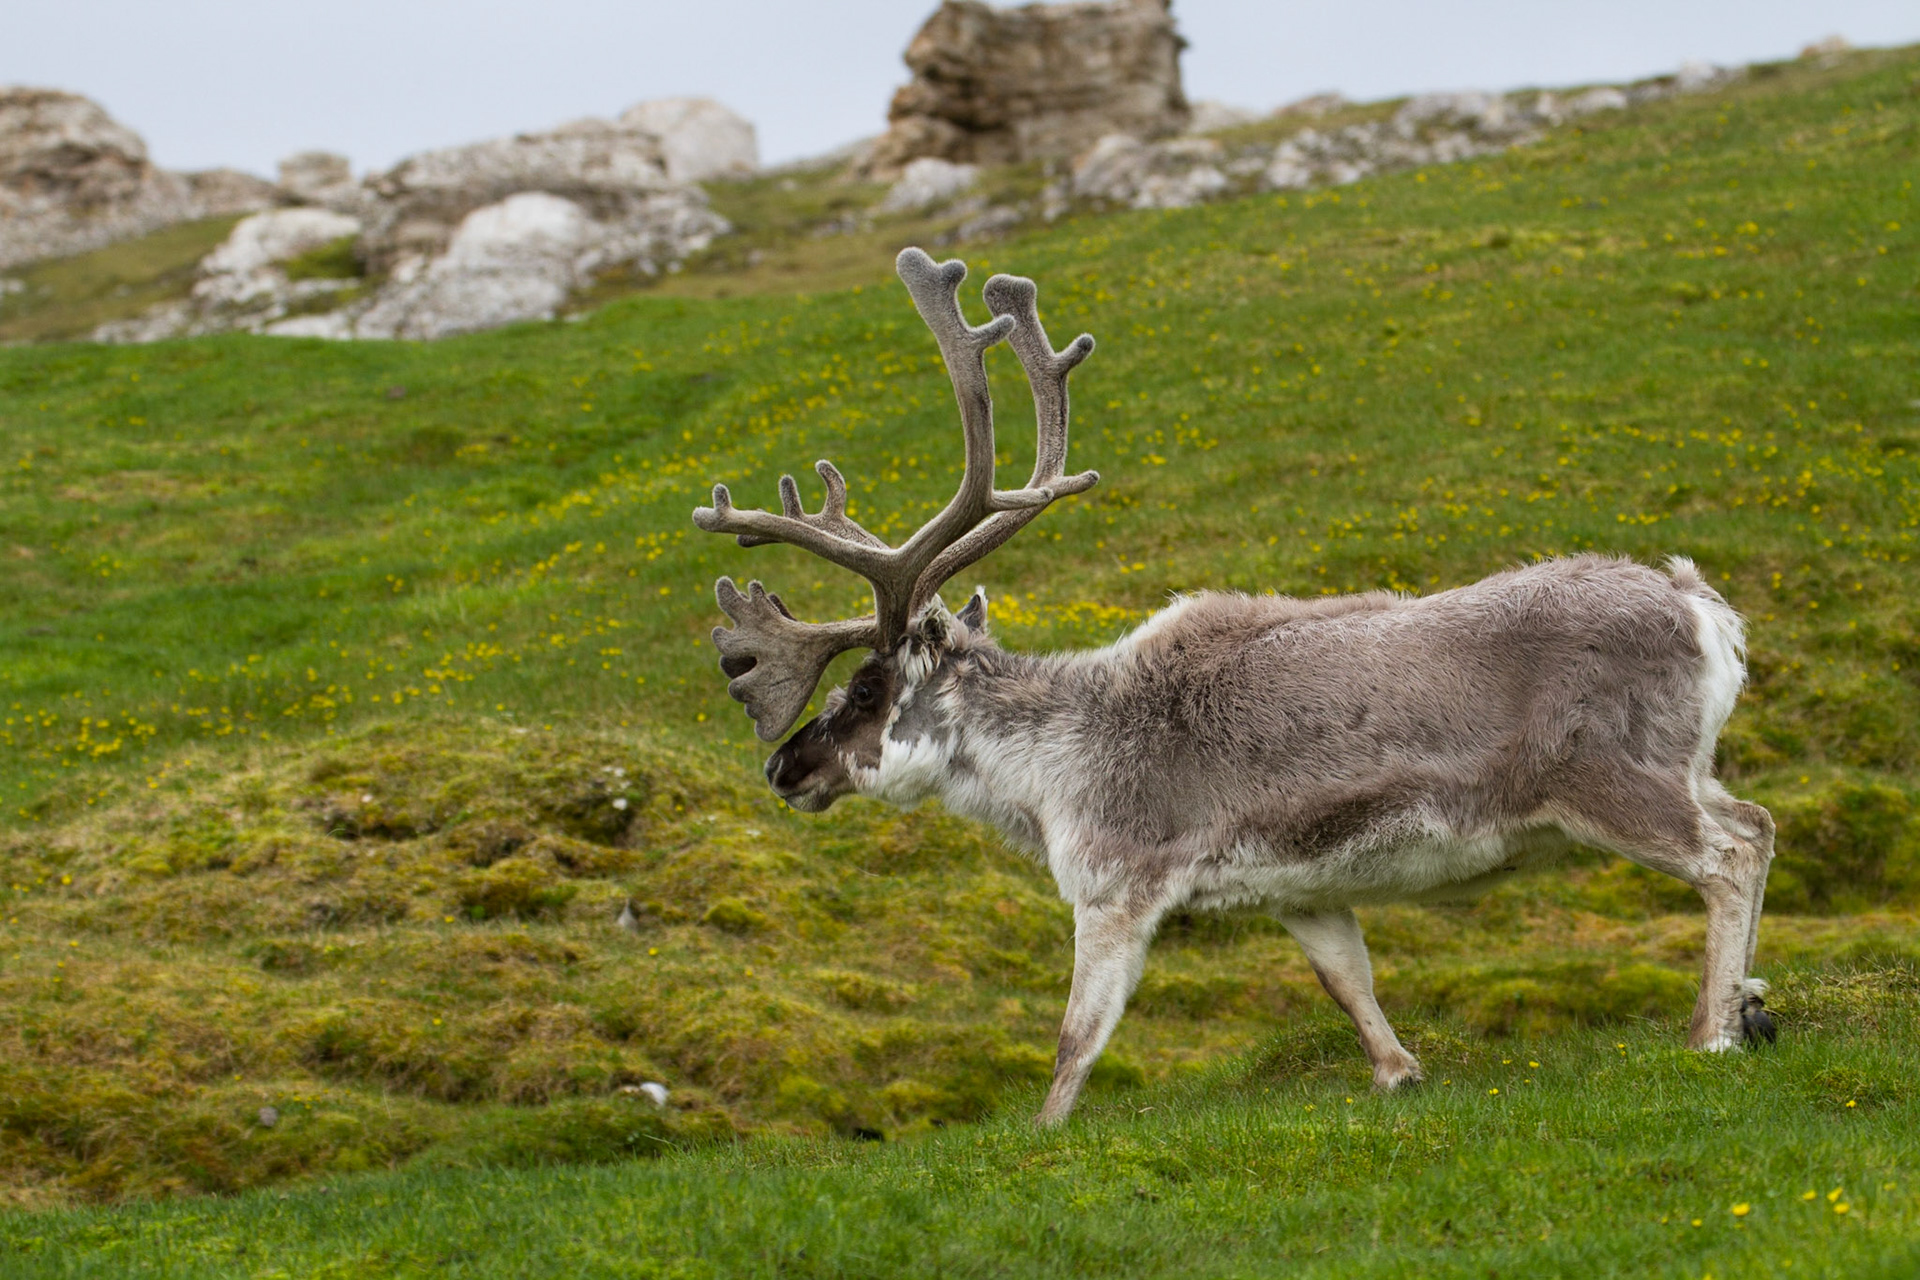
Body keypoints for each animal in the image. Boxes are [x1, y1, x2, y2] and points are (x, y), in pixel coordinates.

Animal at [692, 246, 1777, 1125]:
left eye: (865, 690)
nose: (785, 767)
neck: (1047, 768)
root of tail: (1705, 607)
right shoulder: (1299, 889)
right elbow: (1353, 988)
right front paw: (1400, 1073)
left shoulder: (1115, 883)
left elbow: (1073, 1049)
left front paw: (1041, 1134)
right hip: (1688, 765)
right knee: (1758, 820)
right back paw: (1750, 1003)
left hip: (1608, 782)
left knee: (1728, 853)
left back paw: (1712, 1030)